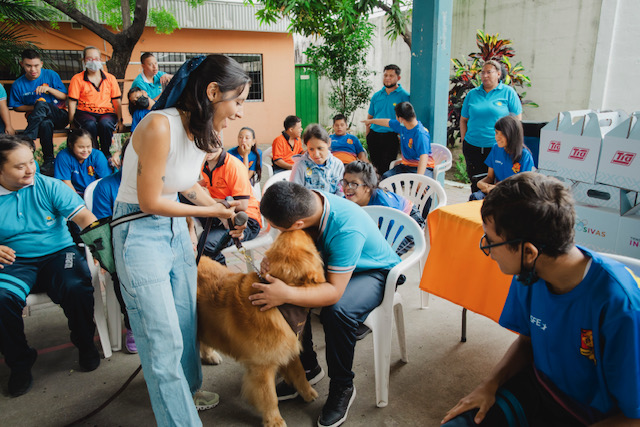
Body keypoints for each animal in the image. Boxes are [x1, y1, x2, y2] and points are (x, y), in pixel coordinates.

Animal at [197, 229, 326, 427]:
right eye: (309, 246)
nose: (298, 227)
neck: (281, 304)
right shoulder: (261, 367)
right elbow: (269, 397)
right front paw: (273, 420)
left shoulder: (288, 348)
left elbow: (299, 372)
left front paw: (307, 392)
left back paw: (210, 355)